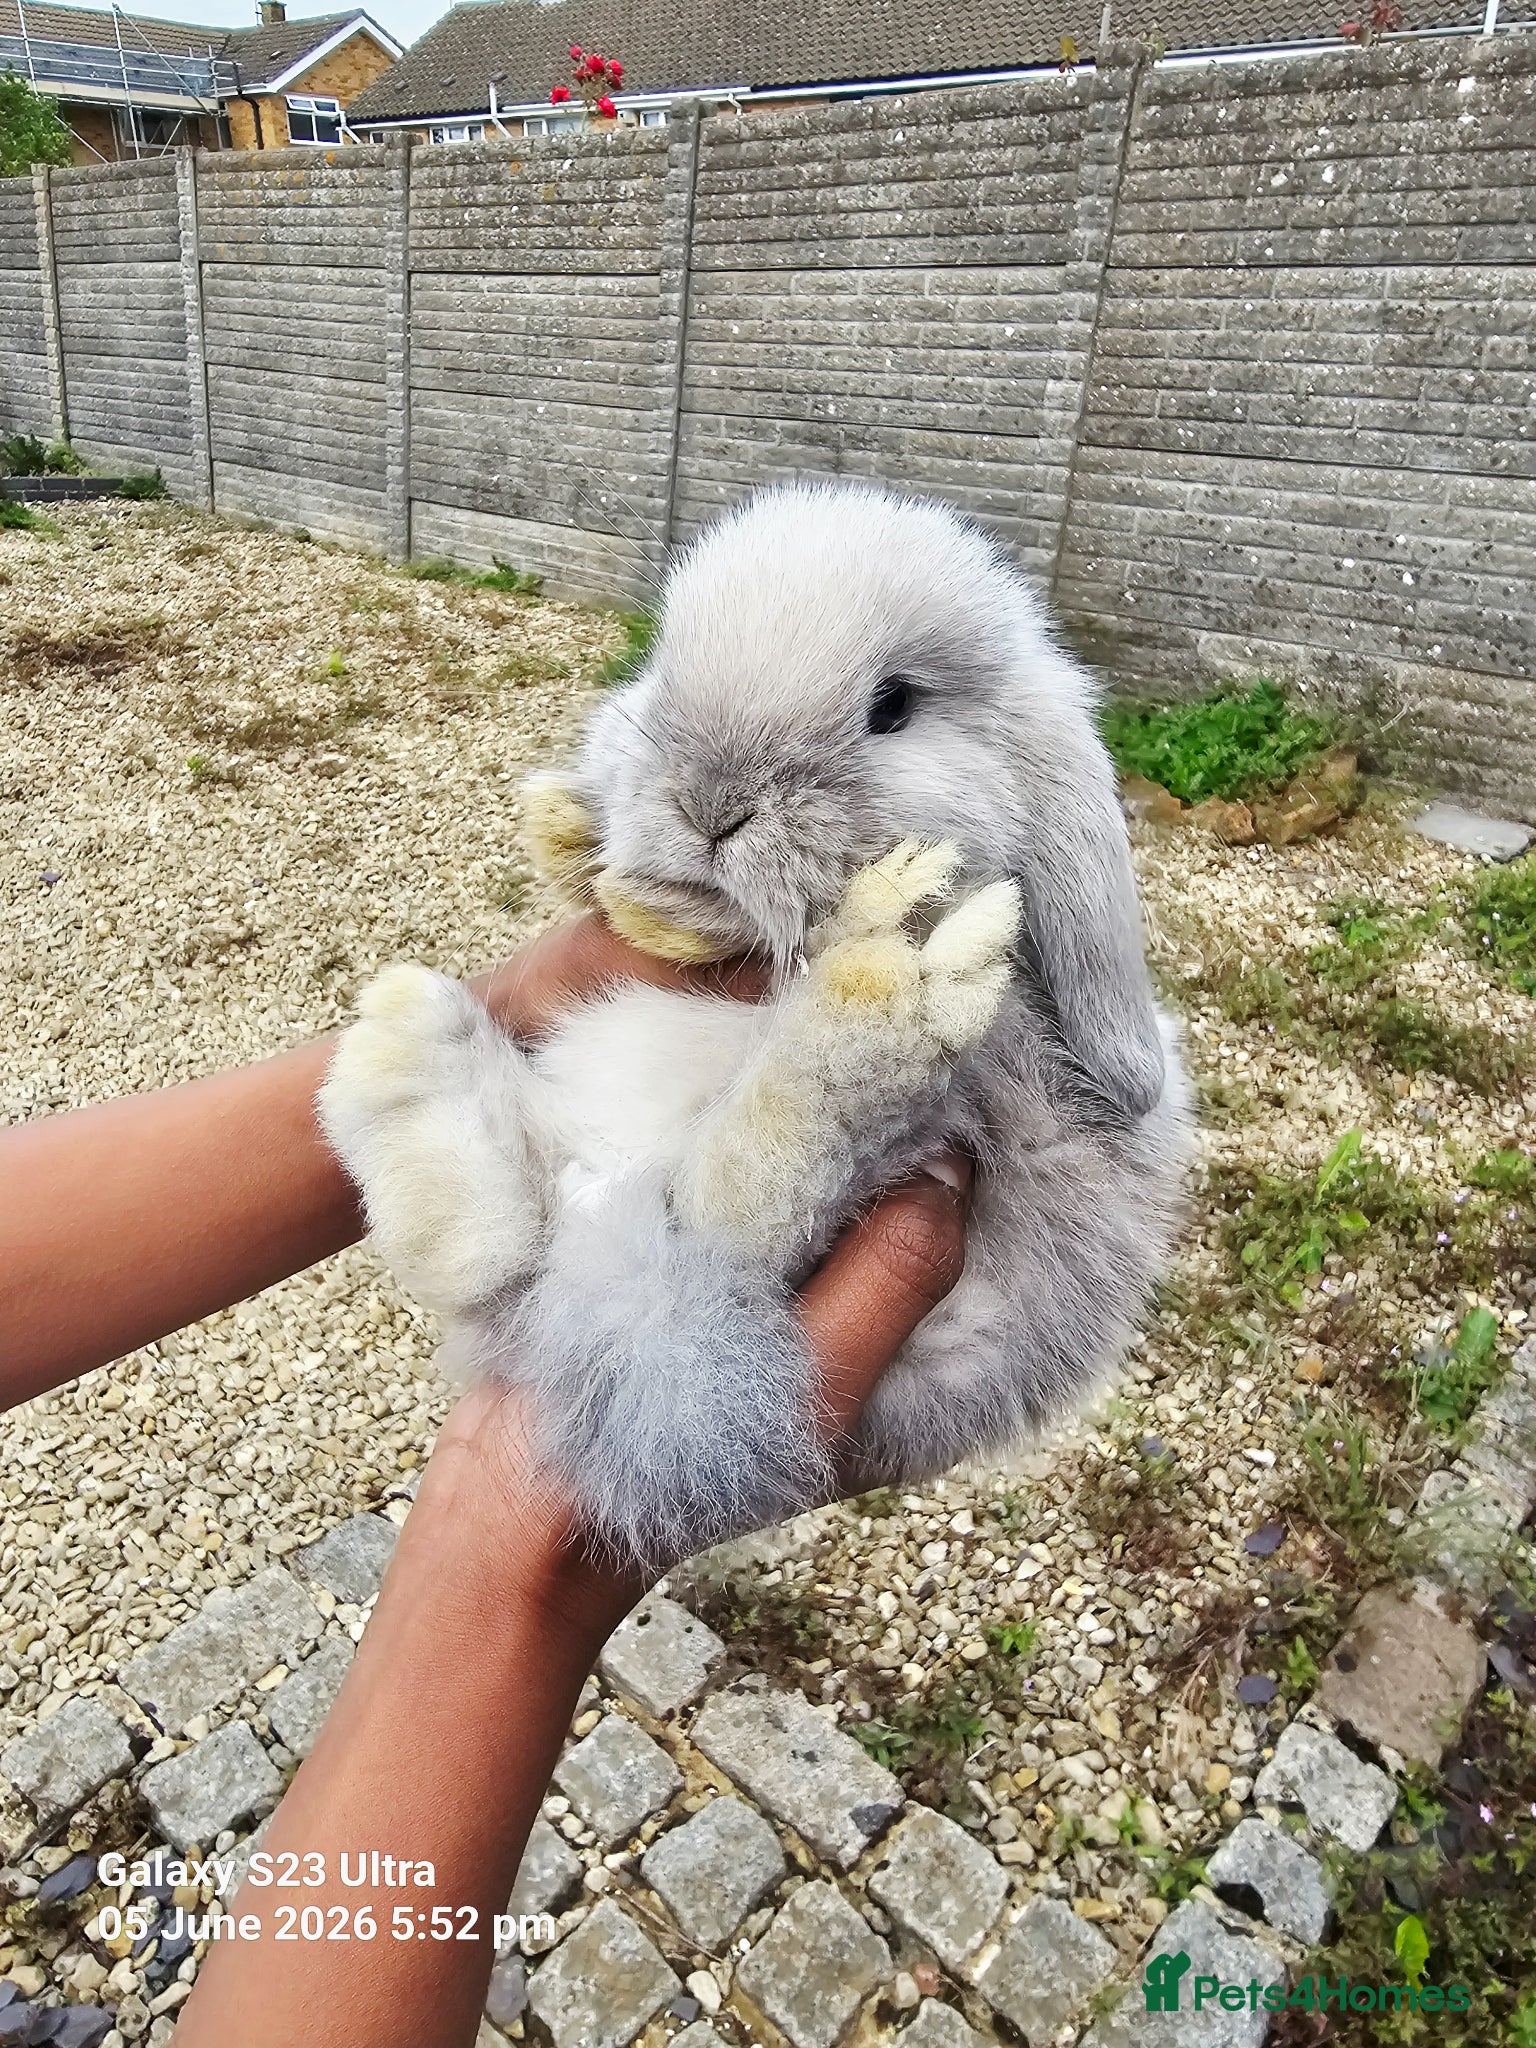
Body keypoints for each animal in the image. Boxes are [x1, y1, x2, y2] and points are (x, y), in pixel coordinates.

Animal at [318, 480, 1194, 1568]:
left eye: (894, 707)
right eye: (662, 659)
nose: (711, 805)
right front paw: (567, 828)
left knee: (734, 1206)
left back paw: (893, 992)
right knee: (497, 1252)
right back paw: (405, 1048)